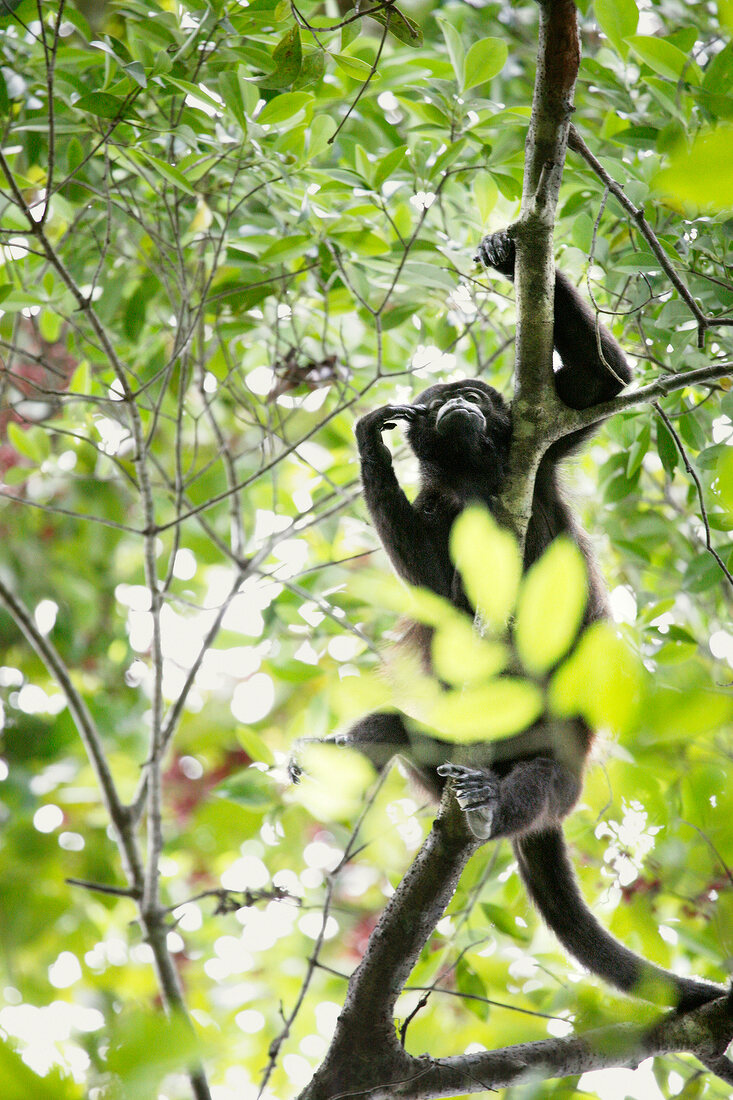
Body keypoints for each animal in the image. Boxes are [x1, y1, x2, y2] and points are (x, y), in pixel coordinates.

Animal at [334, 232, 717, 1012]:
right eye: (436, 406)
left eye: (477, 396)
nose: (458, 402)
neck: (477, 478)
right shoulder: (439, 508)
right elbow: (439, 592)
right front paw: (370, 441)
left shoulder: (543, 445)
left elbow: (602, 383)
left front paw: (509, 253)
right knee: (399, 729)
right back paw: (364, 748)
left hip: (564, 758)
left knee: (537, 786)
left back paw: (487, 805)